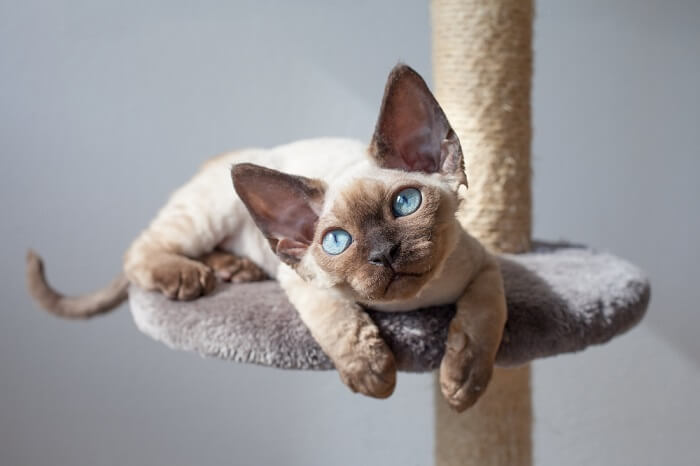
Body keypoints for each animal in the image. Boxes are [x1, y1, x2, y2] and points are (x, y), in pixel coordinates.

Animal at [27, 62, 506, 412]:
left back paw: (234, 269)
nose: (383, 253)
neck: (408, 306)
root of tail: (216, 159)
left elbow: (485, 318)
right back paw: (189, 277)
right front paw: (374, 373)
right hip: (207, 216)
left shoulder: (485, 264)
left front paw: (463, 382)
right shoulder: (302, 281)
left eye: (406, 203)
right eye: (337, 242)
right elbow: (342, 322)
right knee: (140, 250)